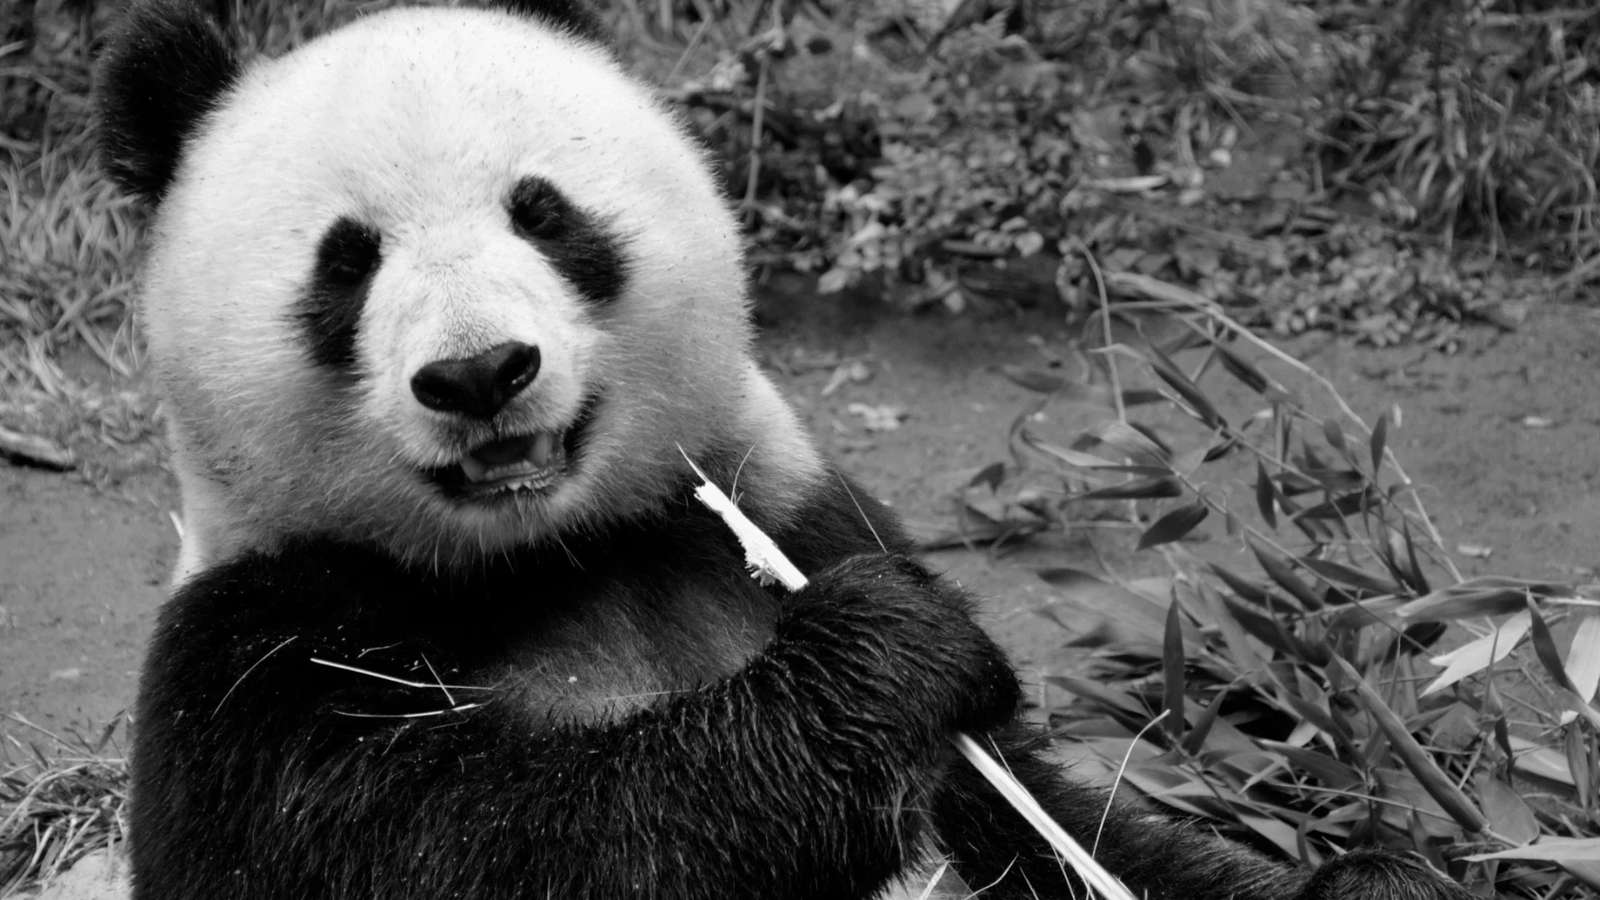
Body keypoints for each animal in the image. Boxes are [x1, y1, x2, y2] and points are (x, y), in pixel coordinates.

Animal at [95, 2, 1472, 898]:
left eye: (543, 213)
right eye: (346, 264)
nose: (482, 375)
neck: (549, 555)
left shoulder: (781, 503)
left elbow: (1044, 822)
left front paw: (1378, 876)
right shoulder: (257, 653)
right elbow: (475, 848)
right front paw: (880, 665)